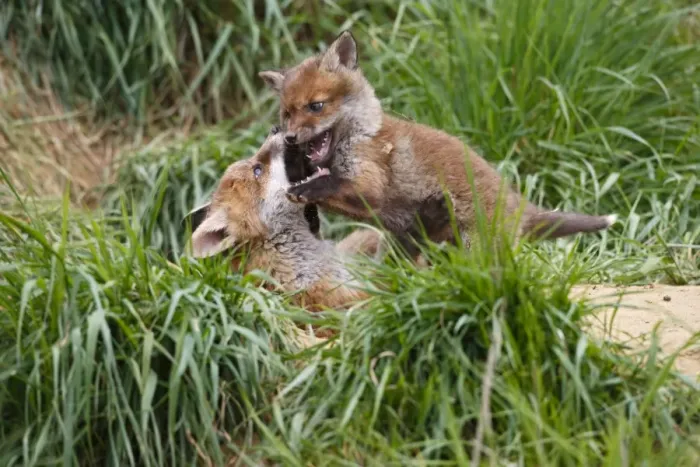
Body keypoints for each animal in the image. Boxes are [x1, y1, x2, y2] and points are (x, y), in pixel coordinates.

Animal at [259, 31, 617, 249]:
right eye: (286, 114)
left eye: (316, 106)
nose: (289, 135)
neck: (362, 136)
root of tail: (518, 203)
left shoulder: (370, 184)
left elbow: (329, 184)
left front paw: (307, 189)